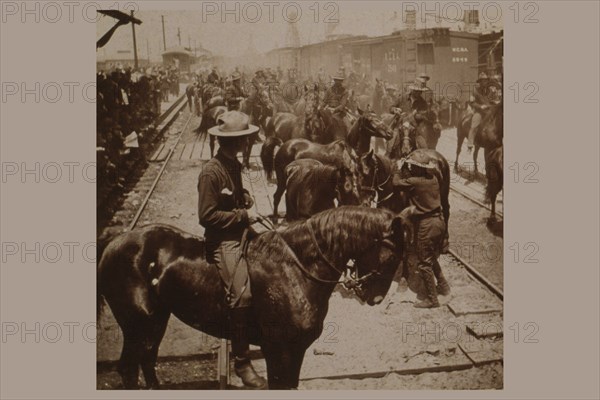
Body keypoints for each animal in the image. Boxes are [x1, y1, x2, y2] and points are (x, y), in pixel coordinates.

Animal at [97, 208, 408, 390]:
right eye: (393, 255)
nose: (375, 297)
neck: (295, 268)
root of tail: (114, 243)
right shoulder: (278, 349)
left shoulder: (297, 349)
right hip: (139, 325)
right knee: (129, 368)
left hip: (156, 322)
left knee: (147, 361)